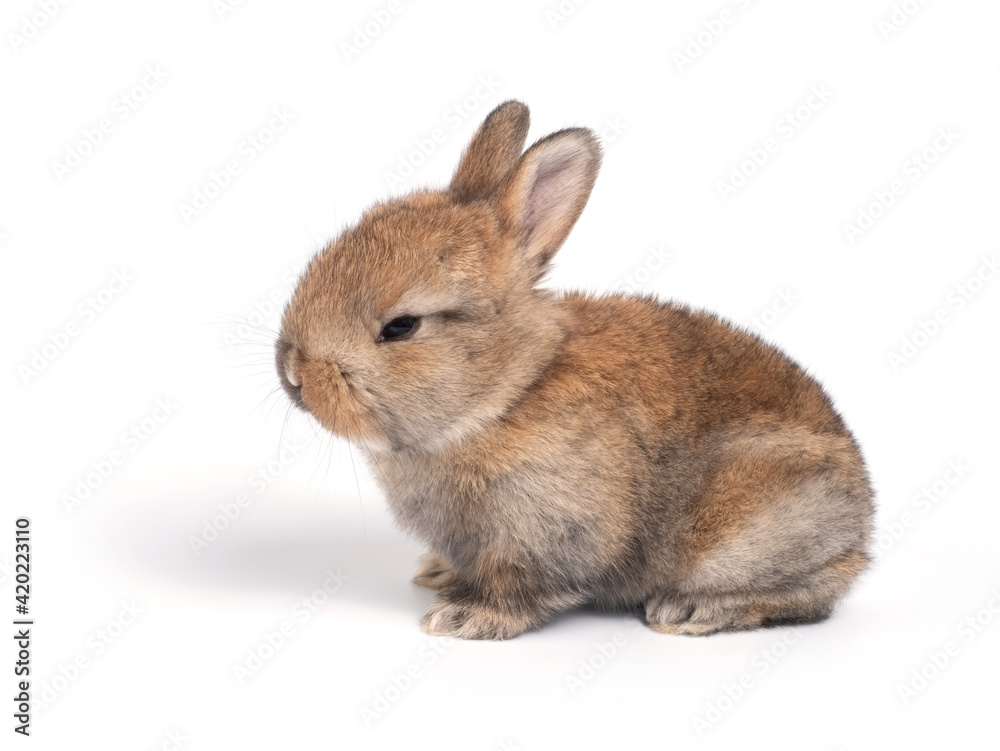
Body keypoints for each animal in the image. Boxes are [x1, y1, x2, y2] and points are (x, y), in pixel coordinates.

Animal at [275, 100, 874, 640]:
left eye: (401, 327)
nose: (294, 374)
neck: (510, 392)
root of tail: (863, 523)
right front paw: (437, 575)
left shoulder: (552, 530)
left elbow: (524, 583)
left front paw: (464, 618)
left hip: (749, 534)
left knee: (807, 593)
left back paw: (692, 610)